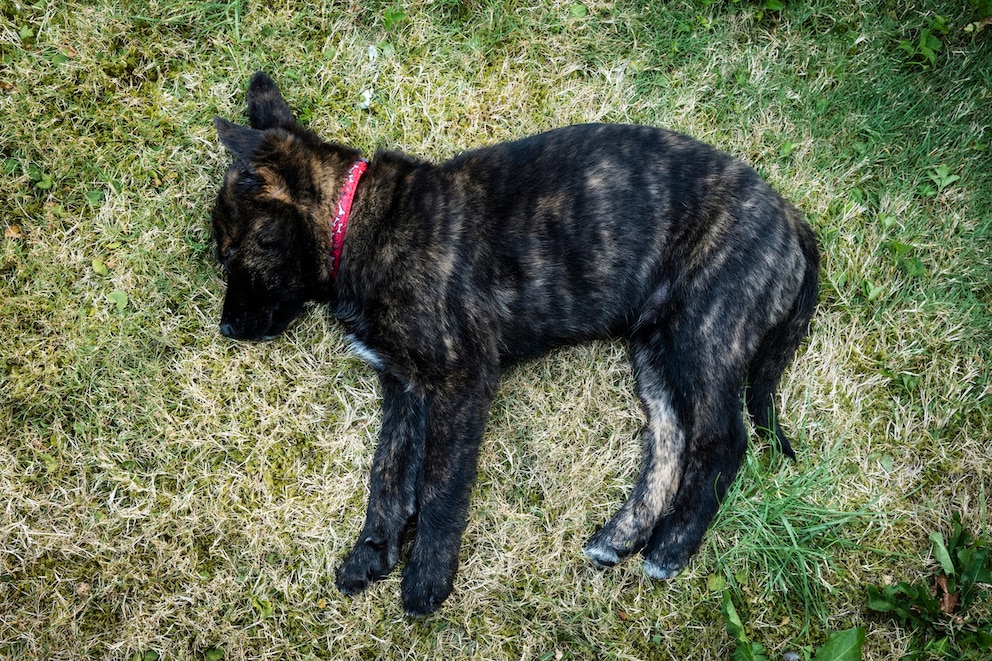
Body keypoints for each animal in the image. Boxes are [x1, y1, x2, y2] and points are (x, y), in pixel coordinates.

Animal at [213, 71, 816, 612]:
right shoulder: (405, 386)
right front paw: (372, 553)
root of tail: (789, 214)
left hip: (704, 334)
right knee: (670, 438)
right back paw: (620, 538)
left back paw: (672, 546)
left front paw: (426, 580)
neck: (358, 222)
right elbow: (389, 476)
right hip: (653, 349)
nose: (226, 329)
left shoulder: (460, 378)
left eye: (230, 252)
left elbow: (438, 485)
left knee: (722, 439)